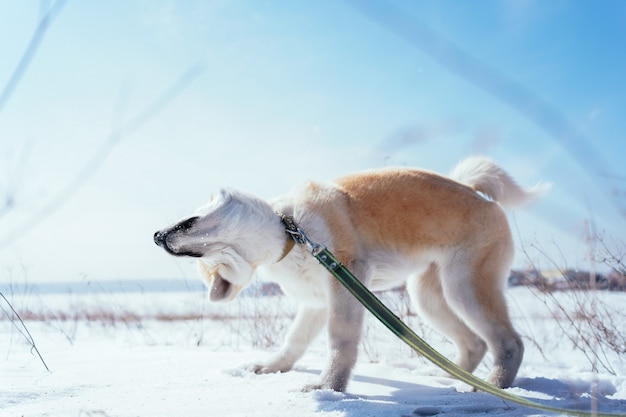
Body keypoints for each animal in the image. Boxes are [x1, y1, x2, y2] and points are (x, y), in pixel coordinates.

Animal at [152, 155, 544, 390]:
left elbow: (340, 341)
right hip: (429, 296)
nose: (156, 235)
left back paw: (492, 385)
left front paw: (329, 388)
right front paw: (272, 367)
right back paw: (447, 375)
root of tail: (477, 193)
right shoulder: (316, 304)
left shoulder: (346, 285)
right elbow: (294, 341)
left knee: (509, 343)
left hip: (464, 286)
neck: (290, 233)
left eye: (188, 221)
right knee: (475, 343)